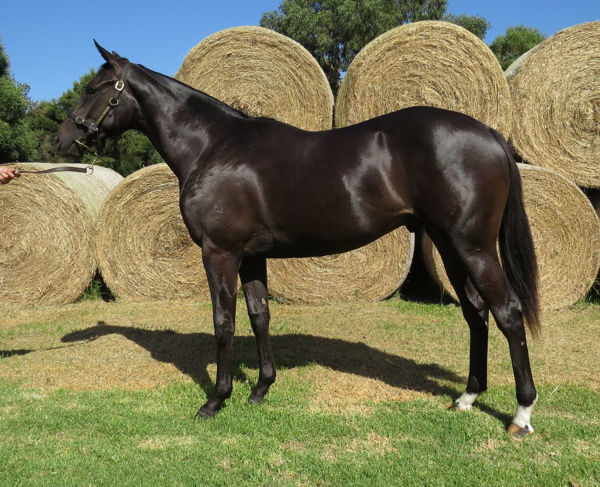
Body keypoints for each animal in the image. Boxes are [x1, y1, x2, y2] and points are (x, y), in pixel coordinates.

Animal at [57, 42, 544, 436]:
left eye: (95, 87)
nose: (64, 139)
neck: (214, 147)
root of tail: (490, 134)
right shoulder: (252, 257)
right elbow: (259, 316)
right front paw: (260, 390)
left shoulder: (220, 254)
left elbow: (223, 322)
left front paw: (216, 400)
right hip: (448, 245)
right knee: (476, 313)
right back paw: (467, 398)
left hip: (473, 247)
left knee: (507, 312)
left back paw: (521, 415)